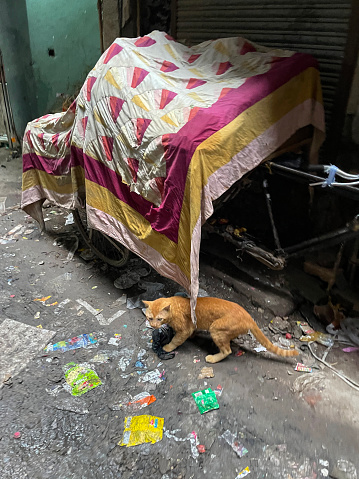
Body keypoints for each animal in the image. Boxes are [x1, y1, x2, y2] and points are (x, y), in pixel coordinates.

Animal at [142, 296, 300, 364]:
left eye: (159, 319)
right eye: (150, 318)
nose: (154, 326)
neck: (174, 306)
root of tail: (248, 316)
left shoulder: (184, 329)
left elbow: (176, 340)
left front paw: (168, 347)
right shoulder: (192, 326)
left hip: (216, 329)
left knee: (227, 351)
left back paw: (213, 358)